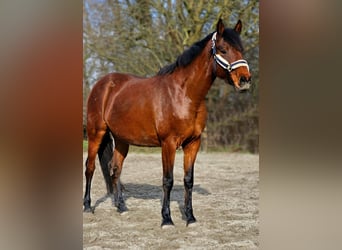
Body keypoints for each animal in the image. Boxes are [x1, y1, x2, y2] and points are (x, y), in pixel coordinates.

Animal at [83, 18, 251, 228]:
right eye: (222, 49)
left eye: (241, 49)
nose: (245, 80)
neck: (184, 94)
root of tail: (102, 83)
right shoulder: (168, 144)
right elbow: (168, 180)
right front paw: (167, 219)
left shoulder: (193, 143)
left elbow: (188, 180)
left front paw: (190, 217)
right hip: (95, 133)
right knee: (90, 167)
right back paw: (87, 207)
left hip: (122, 140)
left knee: (114, 168)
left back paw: (121, 207)